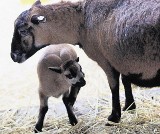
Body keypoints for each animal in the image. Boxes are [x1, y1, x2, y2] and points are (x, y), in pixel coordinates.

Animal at [10, 0, 160, 123]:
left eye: (22, 31)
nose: (13, 56)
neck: (81, 21)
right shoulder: (121, 59)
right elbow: (125, 80)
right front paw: (129, 107)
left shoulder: (106, 60)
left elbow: (114, 86)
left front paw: (114, 117)